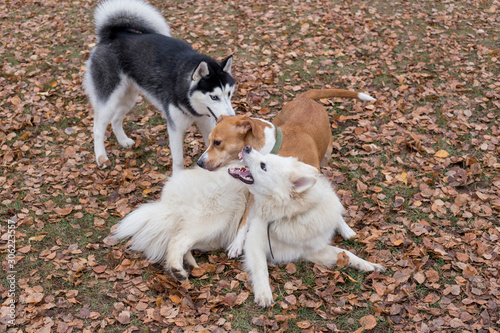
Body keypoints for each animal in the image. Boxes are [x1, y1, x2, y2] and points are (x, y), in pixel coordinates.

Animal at [229, 145, 384, 306]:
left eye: (263, 166)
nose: (247, 147)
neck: (290, 215)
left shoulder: (313, 250)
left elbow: (346, 253)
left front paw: (368, 265)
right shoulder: (255, 242)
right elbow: (261, 268)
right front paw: (264, 293)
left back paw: (347, 231)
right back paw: (236, 245)